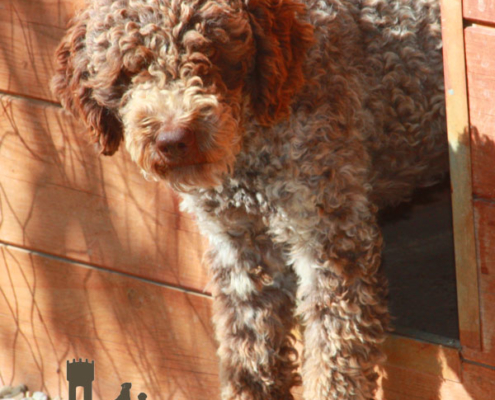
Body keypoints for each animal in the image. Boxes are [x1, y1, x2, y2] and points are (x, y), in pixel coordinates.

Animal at [52, 1, 448, 398]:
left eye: (211, 52)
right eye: (129, 69)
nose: (173, 139)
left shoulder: (331, 237)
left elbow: (334, 360)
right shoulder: (240, 248)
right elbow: (249, 353)